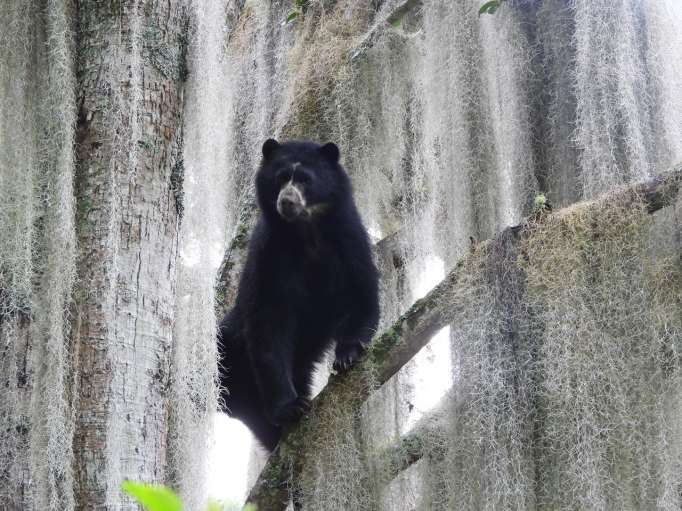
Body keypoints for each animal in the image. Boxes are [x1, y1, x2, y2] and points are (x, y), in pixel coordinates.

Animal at [216, 140, 378, 452]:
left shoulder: (349, 241)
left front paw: (347, 355)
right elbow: (268, 327)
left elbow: (361, 293)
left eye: (305, 179)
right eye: (280, 178)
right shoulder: (269, 256)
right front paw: (290, 407)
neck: (306, 232)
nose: (287, 201)